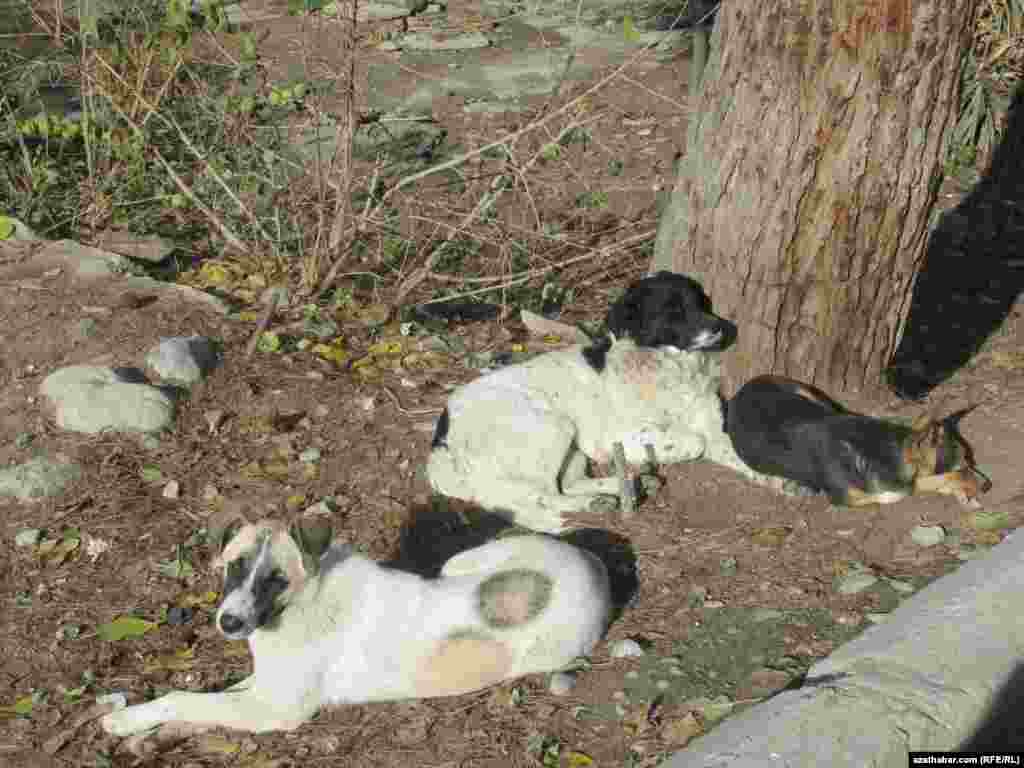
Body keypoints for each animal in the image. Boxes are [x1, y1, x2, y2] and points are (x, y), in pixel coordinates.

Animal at [99, 512, 610, 741]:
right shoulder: (263, 684)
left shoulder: (275, 709)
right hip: (464, 560)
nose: (229, 622)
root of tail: (594, 564)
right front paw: (137, 720)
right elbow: (203, 696)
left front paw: (126, 722)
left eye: (276, 579)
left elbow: (187, 698)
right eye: (234, 566)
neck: (300, 606)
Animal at [425, 272, 774, 536]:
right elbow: (693, 440)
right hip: (553, 426)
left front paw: (780, 482)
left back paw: (619, 489)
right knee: (542, 496)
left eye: (700, 302)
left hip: (571, 446)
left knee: (567, 485)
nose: (718, 327)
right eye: (672, 310)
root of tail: (441, 436)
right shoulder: (619, 437)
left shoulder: (715, 431)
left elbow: (740, 454)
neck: (671, 366)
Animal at [724, 376, 987, 507]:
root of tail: (741, 390)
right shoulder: (849, 497)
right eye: (961, 466)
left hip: (810, 396)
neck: (884, 451)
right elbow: (904, 491)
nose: (988, 486)